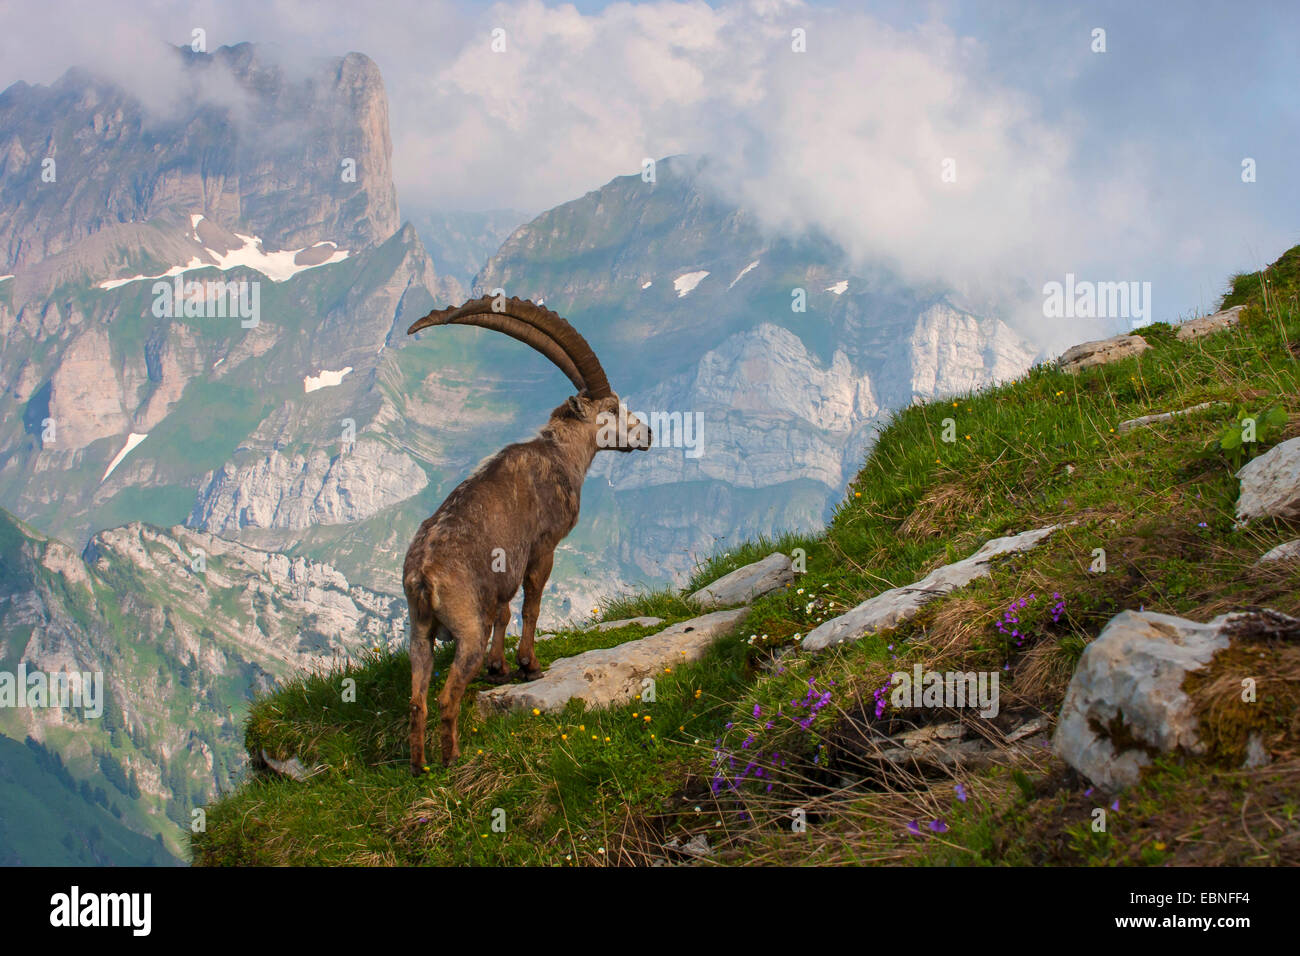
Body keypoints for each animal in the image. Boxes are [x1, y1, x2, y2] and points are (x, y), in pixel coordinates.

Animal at [403, 295, 651, 771]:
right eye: (611, 409)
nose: (647, 434)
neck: (559, 454)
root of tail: (423, 577)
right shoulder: (543, 547)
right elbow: (531, 604)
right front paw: (528, 665)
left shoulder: (505, 568)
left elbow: (504, 609)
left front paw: (499, 668)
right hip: (467, 630)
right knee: (446, 696)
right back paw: (452, 758)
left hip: (418, 633)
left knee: (418, 700)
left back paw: (419, 765)